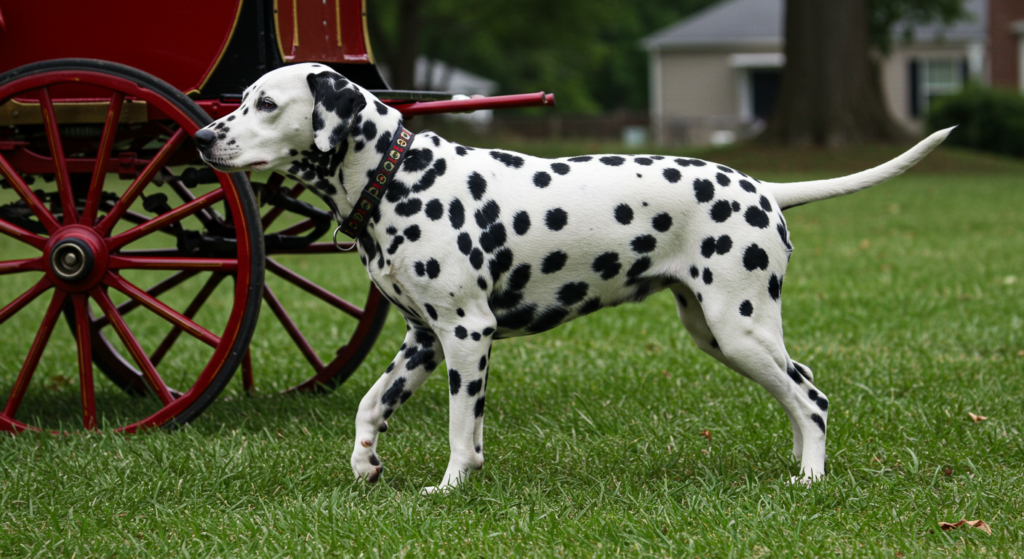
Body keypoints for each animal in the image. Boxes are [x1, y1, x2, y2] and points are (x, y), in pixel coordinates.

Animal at [195, 62, 954, 491]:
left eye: (265, 103)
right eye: (246, 98)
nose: (202, 138)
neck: (400, 175)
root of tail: (764, 188)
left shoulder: (467, 335)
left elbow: (459, 428)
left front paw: (450, 487)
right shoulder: (421, 342)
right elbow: (369, 406)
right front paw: (365, 466)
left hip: (740, 329)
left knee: (812, 398)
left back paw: (812, 479)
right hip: (720, 335)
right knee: (798, 397)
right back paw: (800, 466)